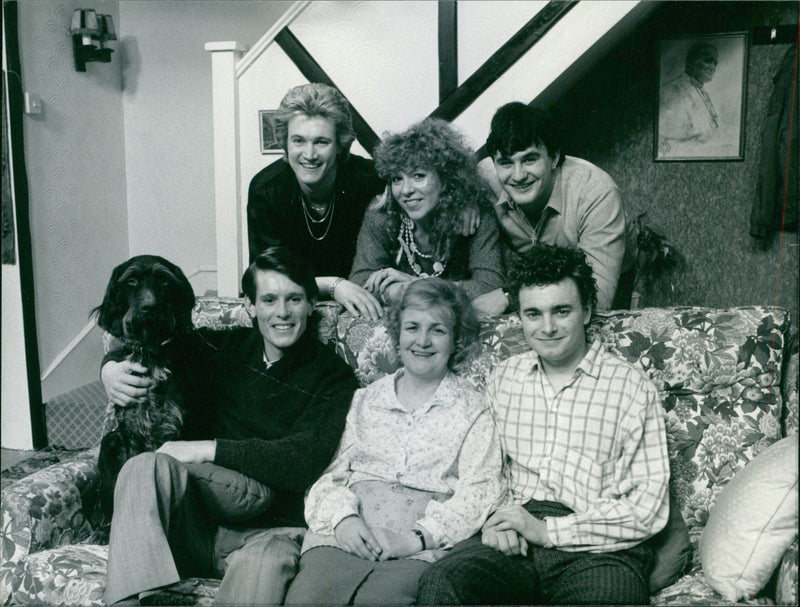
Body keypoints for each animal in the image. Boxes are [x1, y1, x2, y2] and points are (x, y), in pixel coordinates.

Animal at [94, 254, 197, 520]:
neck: (150, 353)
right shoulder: (131, 435)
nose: (150, 307)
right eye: (131, 281)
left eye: (164, 281)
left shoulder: (176, 431)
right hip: (110, 442)